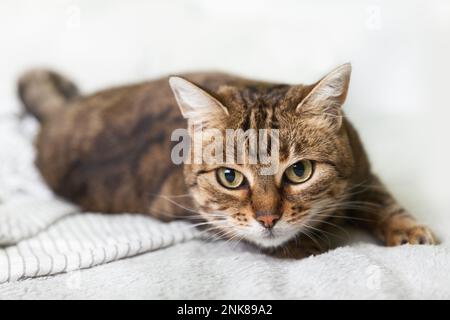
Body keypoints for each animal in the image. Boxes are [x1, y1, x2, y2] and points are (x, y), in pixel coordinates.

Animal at [17, 63, 436, 258]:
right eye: (230, 178)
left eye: (300, 171)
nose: (268, 219)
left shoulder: (365, 172)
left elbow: (384, 202)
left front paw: (409, 230)